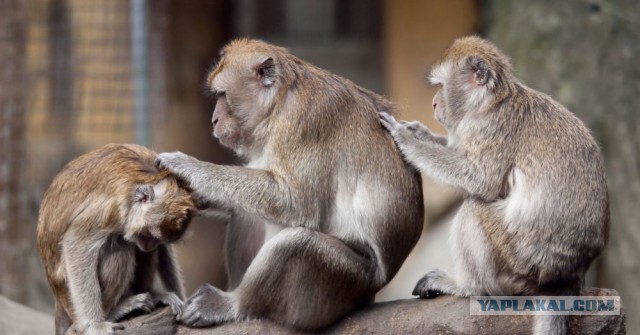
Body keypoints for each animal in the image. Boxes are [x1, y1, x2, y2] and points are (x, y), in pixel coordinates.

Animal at [36, 144, 196, 335]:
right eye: (147, 235)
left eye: (155, 239)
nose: (148, 245)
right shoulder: (113, 207)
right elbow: (76, 242)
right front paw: (94, 325)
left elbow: (163, 250)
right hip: (67, 294)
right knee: (120, 246)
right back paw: (115, 310)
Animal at [156, 38, 424, 330]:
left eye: (222, 94)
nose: (214, 120)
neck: (279, 103)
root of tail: (376, 289)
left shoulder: (305, 123)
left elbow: (295, 203)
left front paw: (187, 167)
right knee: (247, 213)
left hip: (346, 281)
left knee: (297, 243)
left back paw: (233, 304)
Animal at [380, 35, 608, 334]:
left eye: (441, 86)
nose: (433, 104)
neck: (490, 101)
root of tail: (568, 274)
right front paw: (419, 132)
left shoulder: (489, 128)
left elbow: (480, 180)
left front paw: (406, 139)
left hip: (521, 261)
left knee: (475, 210)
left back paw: (467, 287)